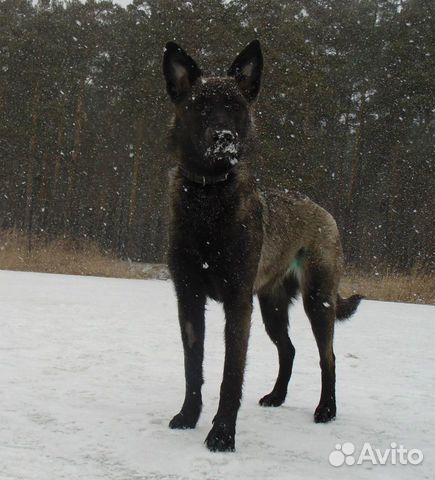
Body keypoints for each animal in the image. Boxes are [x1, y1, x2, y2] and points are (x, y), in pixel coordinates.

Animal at [162, 39, 362, 452]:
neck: (208, 199)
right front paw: (188, 417)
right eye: (200, 107)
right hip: (272, 306)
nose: (224, 138)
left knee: (328, 357)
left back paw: (326, 410)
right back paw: (278, 396)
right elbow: (193, 367)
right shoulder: (188, 298)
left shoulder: (238, 303)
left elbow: (230, 375)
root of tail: (323, 210)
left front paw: (222, 434)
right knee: (289, 349)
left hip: (317, 301)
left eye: (236, 107)